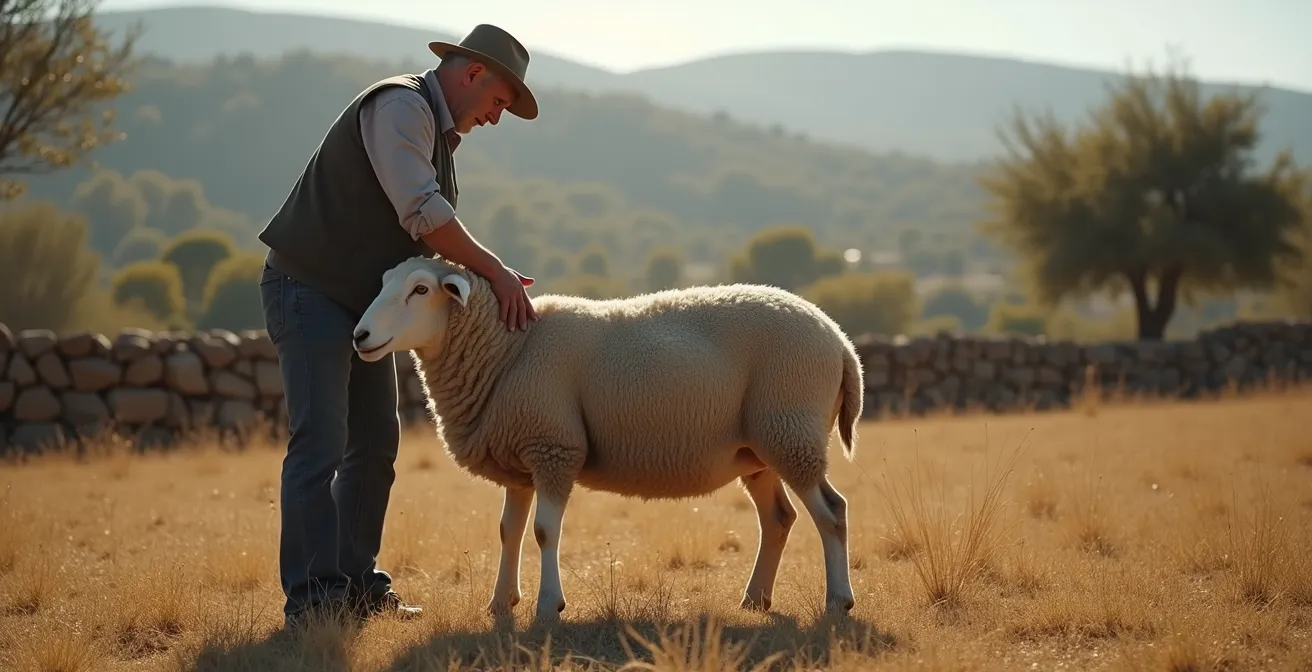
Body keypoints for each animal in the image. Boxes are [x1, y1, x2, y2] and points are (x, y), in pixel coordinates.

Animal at [351, 255, 865, 622]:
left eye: (420, 289)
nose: (360, 336)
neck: (508, 348)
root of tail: (841, 341)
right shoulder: (520, 459)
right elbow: (507, 531)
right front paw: (500, 604)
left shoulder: (554, 446)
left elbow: (543, 530)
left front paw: (548, 606)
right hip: (760, 447)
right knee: (779, 518)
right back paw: (755, 599)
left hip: (791, 430)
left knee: (832, 512)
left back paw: (838, 601)